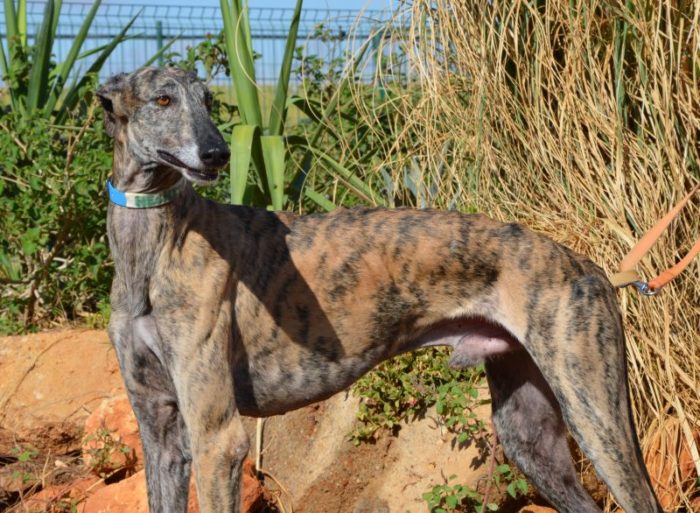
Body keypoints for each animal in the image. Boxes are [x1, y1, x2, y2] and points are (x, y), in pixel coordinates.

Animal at [98, 67, 663, 513]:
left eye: (209, 101)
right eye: (162, 99)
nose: (216, 154)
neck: (156, 245)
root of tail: (587, 265)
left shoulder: (217, 438)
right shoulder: (161, 432)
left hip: (595, 413)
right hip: (530, 434)